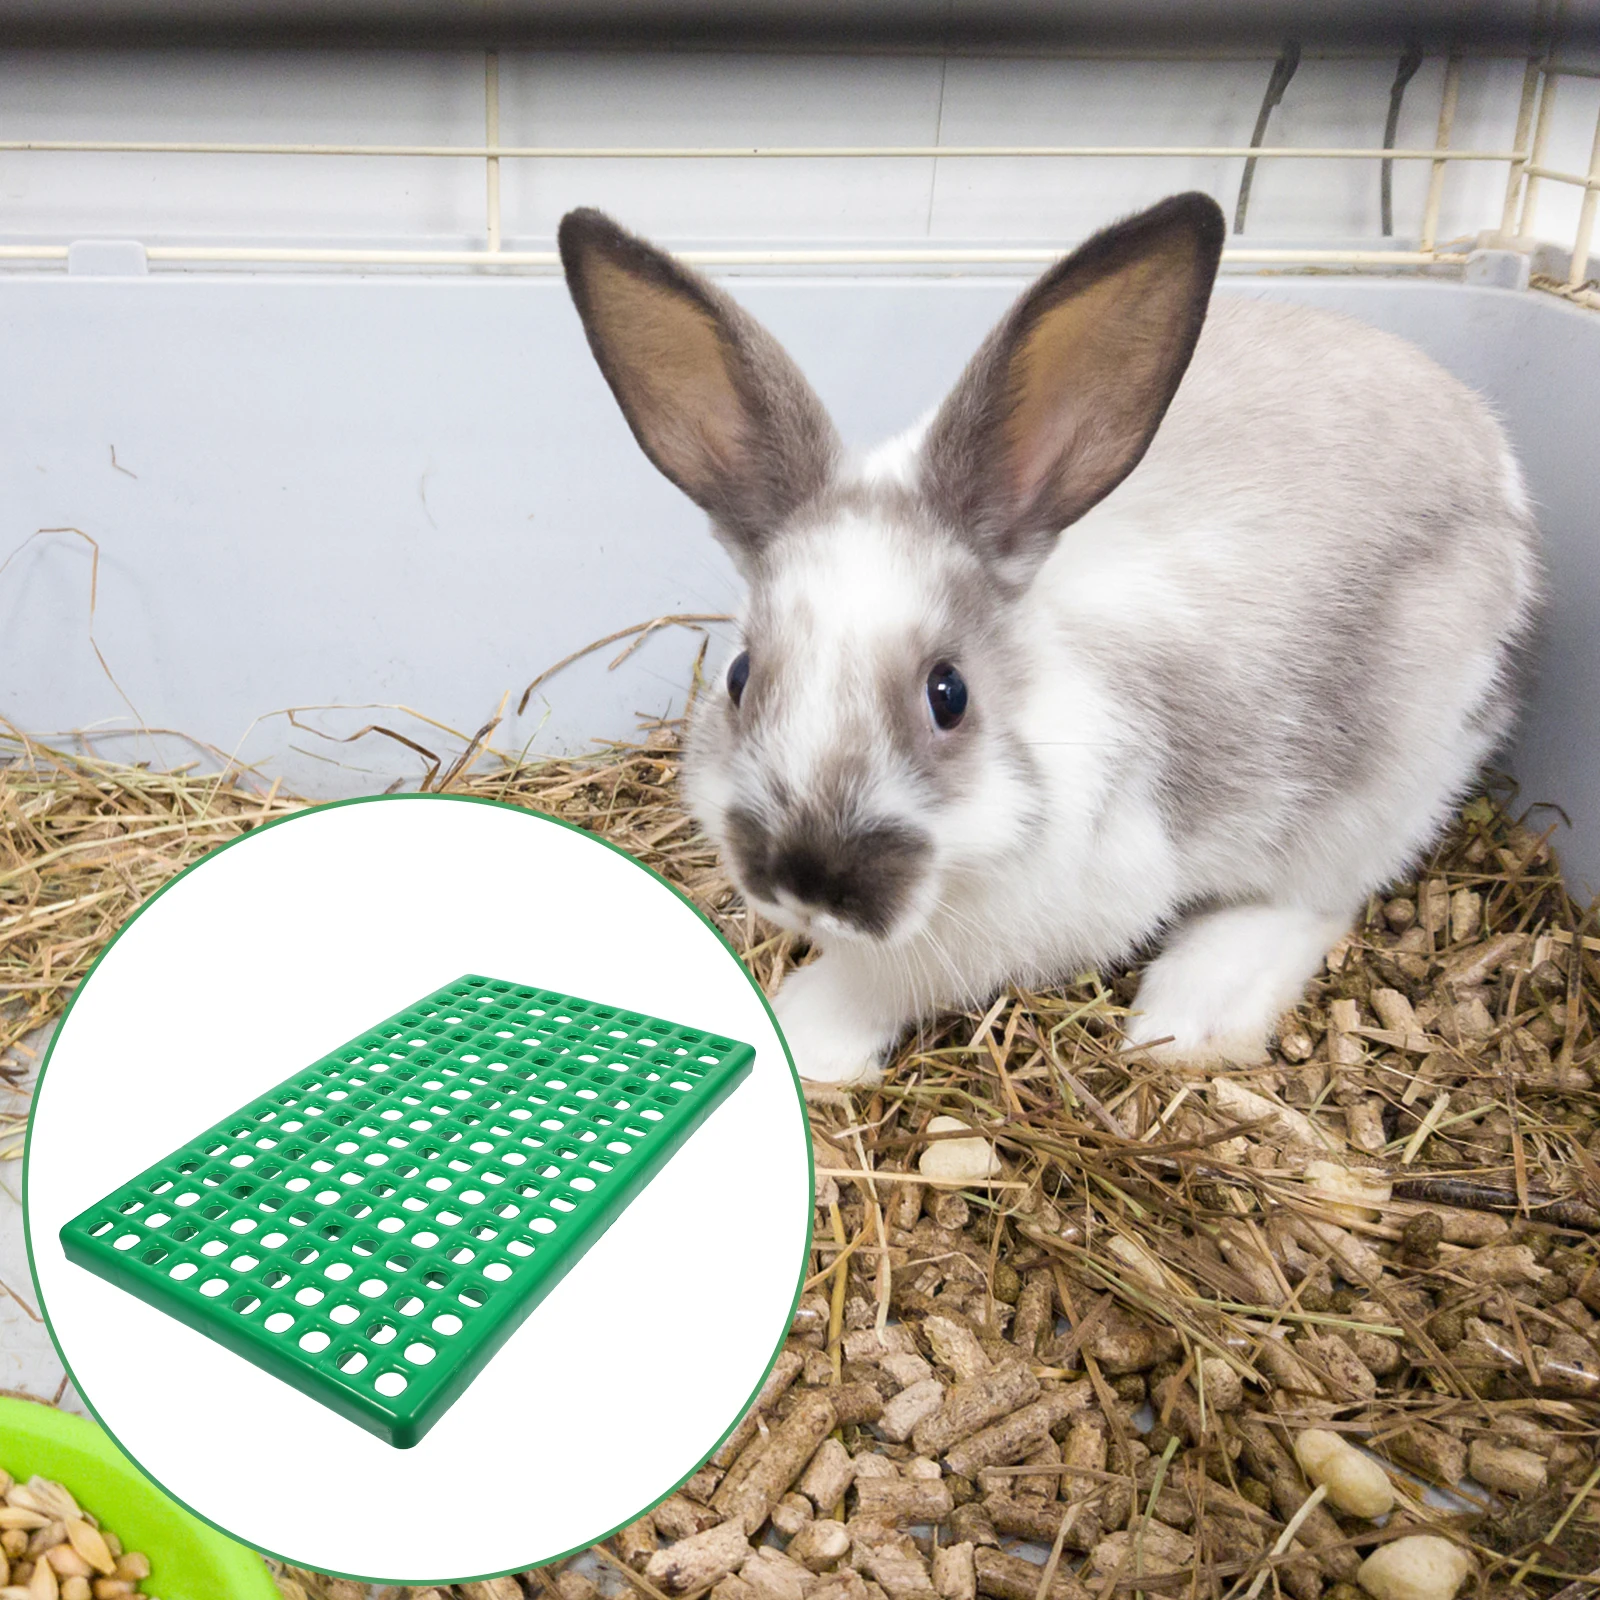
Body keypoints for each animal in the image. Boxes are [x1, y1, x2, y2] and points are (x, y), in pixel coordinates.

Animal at [557, 193, 1542, 1085]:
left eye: (949, 694)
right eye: (737, 674)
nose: (808, 880)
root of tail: (1492, 452)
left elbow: (882, 980)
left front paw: (807, 1035)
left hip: (1384, 782)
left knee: (1319, 898)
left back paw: (1190, 1016)